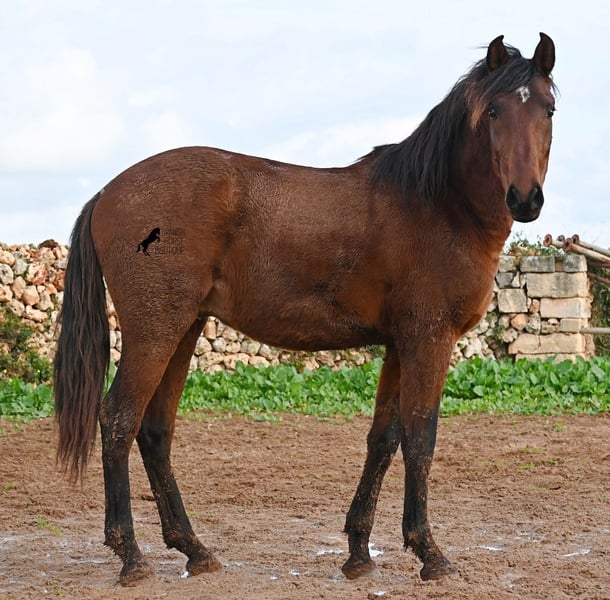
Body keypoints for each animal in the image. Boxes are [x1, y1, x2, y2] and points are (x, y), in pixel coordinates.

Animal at [54, 33, 556, 586]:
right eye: (493, 111)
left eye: (548, 109)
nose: (526, 198)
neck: (437, 205)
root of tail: (107, 192)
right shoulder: (428, 340)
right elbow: (420, 439)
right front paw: (429, 553)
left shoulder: (399, 345)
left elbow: (384, 439)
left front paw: (358, 552)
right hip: (154, 333)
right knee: (118, 420)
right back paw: (131, 556)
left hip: (183, 330)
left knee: (155, 431)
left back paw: (194, 549)